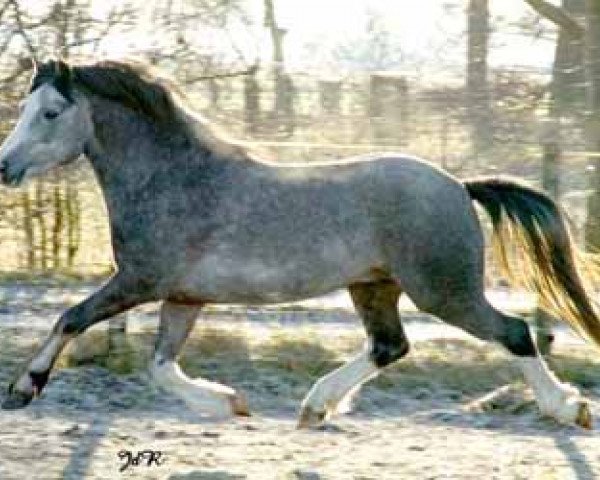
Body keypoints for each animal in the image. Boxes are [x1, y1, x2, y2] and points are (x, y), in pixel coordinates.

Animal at [1, 58, 600, 430]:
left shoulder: (139, 281)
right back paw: (315, 407)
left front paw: (25, 388)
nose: (5, 166)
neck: (173, 178)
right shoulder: (184, 296)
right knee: (390, 346)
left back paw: (570, 410)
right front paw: (230, 403)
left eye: (50, 112)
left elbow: (71, 319)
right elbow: (160, 365)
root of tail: (459, 185)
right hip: (373, 287)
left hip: (444, 292)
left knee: (515, 333)